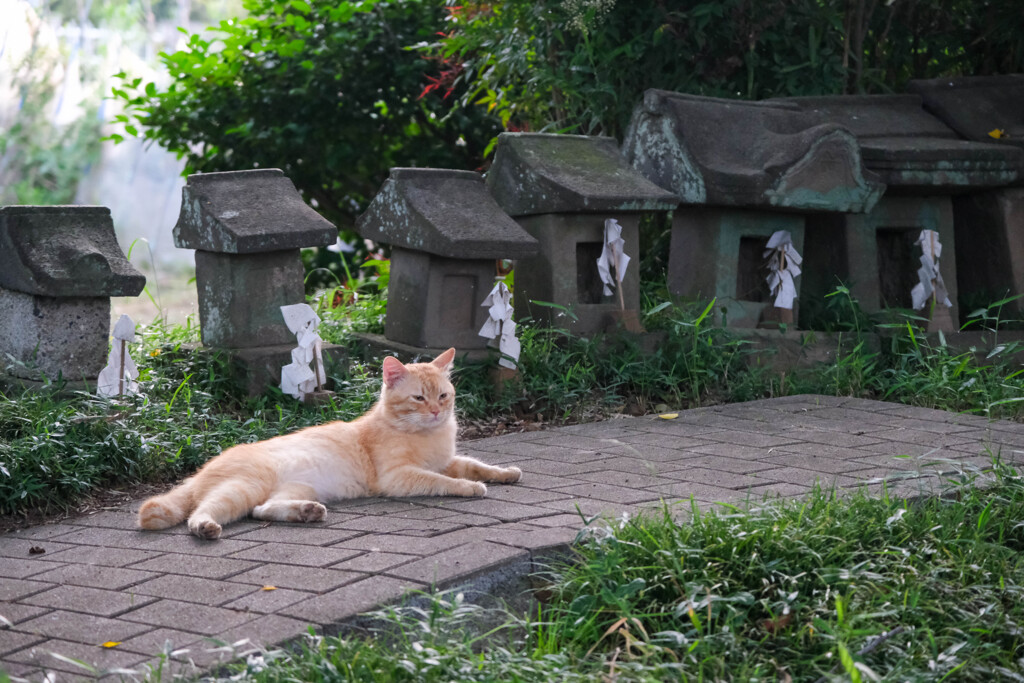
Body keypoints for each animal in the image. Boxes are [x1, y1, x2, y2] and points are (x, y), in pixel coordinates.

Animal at [136, 350, 520, 540]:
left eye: (443, 395)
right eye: (418, 399)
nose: (438, 412)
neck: (427, 436)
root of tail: (202, 470)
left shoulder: (447, 459)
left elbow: (474, 464)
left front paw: (505, 472)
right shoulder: (401, 477)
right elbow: (444, 481)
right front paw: (471, 487)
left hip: (291, 488)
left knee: (262, 510)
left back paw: (307, 512)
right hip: (241, 488)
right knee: (202, 512)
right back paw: (204, 527)